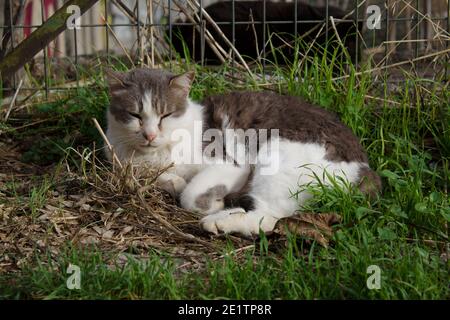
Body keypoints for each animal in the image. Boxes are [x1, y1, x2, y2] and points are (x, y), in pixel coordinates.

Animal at [104, 67, 380, 236]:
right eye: (135, 115)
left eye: (165, 115)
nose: (150, 135)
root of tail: (365, 169)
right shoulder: (122, 162)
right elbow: (150, 176)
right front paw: (172, 181)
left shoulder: (233, 164)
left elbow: (190, 195)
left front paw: (212, 202)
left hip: (275, 156)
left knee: (270, 218)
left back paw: (221, 220)